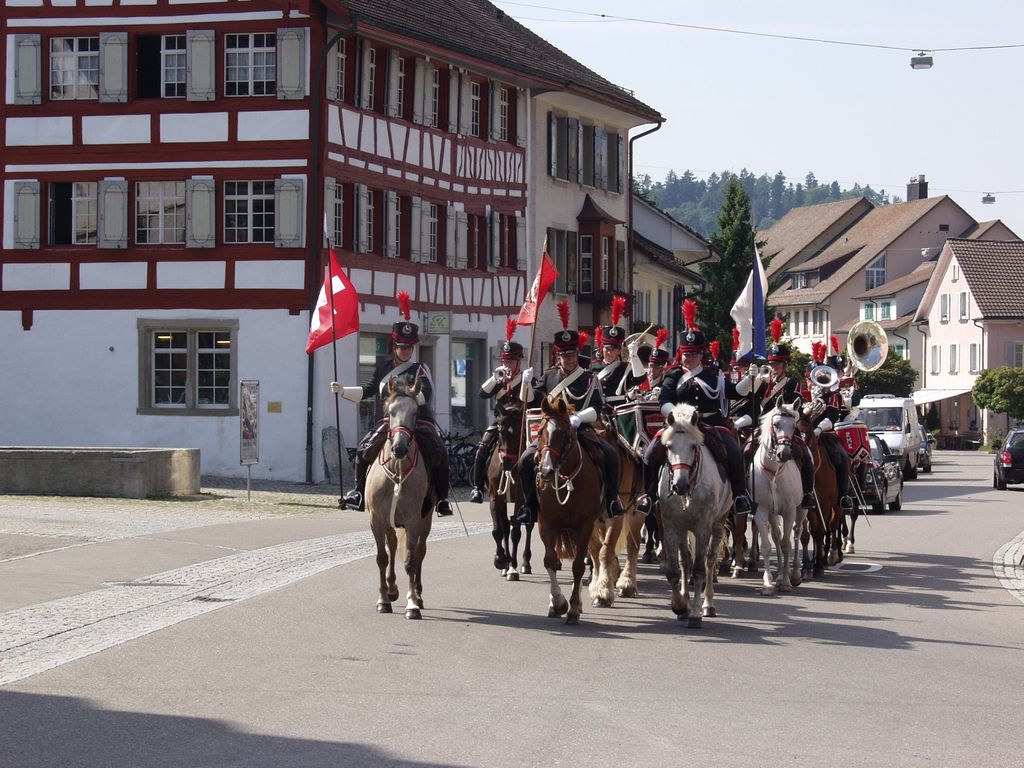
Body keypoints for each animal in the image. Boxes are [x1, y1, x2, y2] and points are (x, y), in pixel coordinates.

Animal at [487, 405, 536, 581]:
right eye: (500, 431)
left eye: (518, 432)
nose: (507, 462)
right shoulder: (495, 499)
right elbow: (499, 530)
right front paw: (501, 561)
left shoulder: (521, 499)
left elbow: (516, 532)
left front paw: (513, 568)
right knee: (506, 526)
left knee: (528, 526)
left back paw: (525, 563)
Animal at [536, 397, 606, 626]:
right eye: (540, 432)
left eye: (565, 434)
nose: (546, 471)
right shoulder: (547, 523)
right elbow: (550, 560)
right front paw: (558, 602)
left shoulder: (585, 525)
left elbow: (577, 566)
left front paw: (573, 608)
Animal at [659, 403, 733, 626]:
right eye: (668, 446)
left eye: (693, 446)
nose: (679, 486)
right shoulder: (671, 527)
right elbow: (674, 571)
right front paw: (680, 606)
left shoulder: (702, 528)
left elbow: (700, 569)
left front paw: (694, 614)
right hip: (684, 529)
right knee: (685, 562)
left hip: (718, 523)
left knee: (709, 561)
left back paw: (708, 605)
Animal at [745, 399, 806, 598]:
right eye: (776, 424)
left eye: (794, 426)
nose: (784, 454)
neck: (773, 472)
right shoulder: (761, 510)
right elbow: (767, 545)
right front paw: (768, 583)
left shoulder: (789, 511)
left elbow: (787, 544)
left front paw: (786, 581)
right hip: (773, 513)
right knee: (777, 537)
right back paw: (778, 575)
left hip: (802, 509)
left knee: (797, 533)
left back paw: (794, 574)